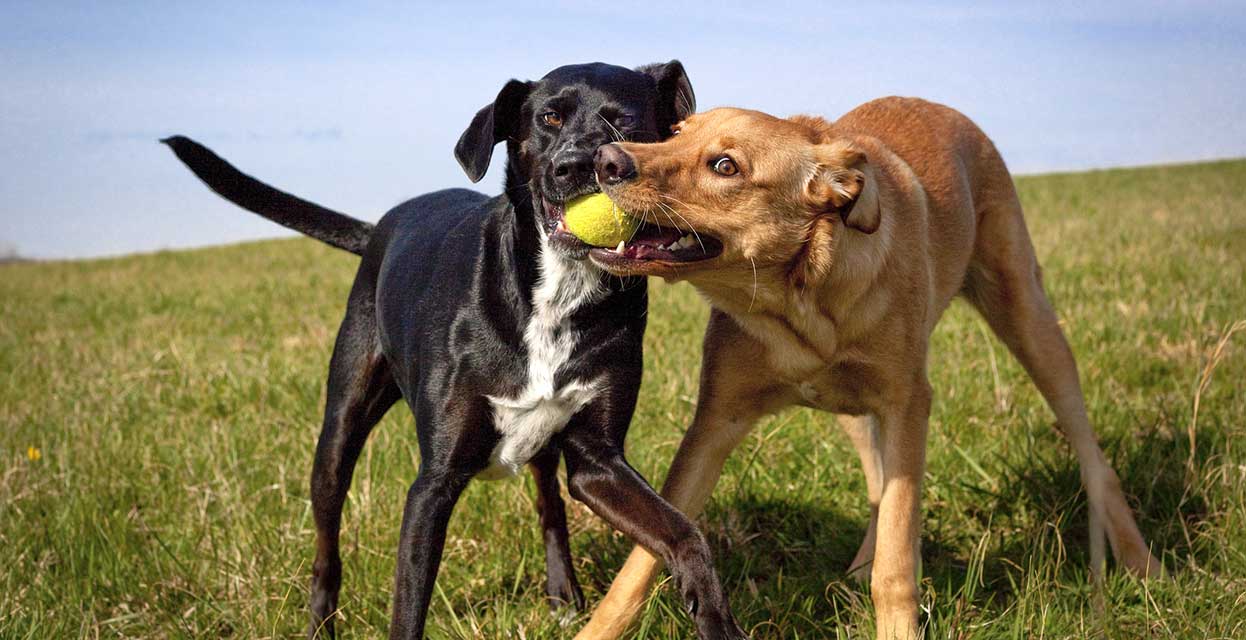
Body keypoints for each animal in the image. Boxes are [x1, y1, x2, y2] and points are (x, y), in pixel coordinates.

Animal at [169, 61, 742, 637]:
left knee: (550, 508)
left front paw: (715, 612)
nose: (576, 167)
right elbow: (408, 610)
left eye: (622, 120)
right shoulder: (432, 486)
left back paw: (563, 594)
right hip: (339, 430)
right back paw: (320, 623)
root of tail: (378, 228)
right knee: (326, 544)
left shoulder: (597, 462)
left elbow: (683, 532)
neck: (556, 293)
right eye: (549, 118)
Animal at [575, 97, 1166, 635]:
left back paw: (1142, 565)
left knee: (1093, 457)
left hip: (1029, 321)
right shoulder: (715, 423)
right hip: (855, 411)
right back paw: (859, 566)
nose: (606, 158)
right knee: (879, 482)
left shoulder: (907, 404)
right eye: (676, 132)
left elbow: (898, 564)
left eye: (726, 166)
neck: (801, 306)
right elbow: (643, 560)